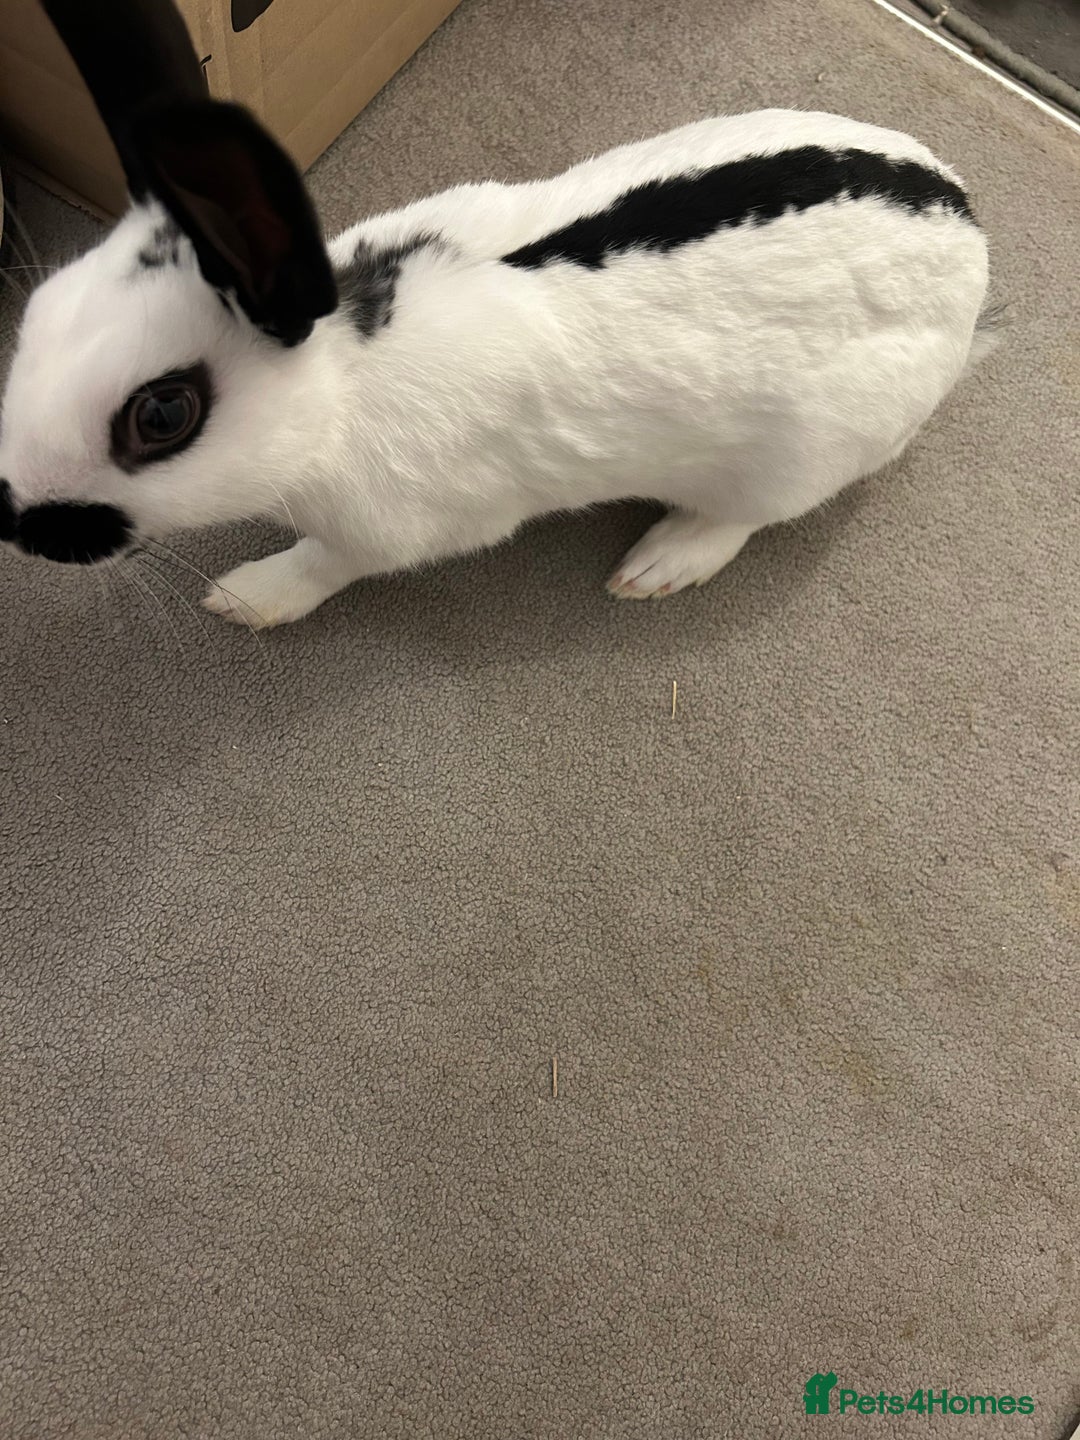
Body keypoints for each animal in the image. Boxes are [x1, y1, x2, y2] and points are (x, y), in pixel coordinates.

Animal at [0, 0, 995, 629]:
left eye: (163, 414)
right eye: (40, 308)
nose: (12, 521)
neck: (341, 384)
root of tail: (970, 243)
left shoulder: (395, 529)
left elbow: (324, 564)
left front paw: (244, 599)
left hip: (799, 457)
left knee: (743, 519)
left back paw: (657, 566)